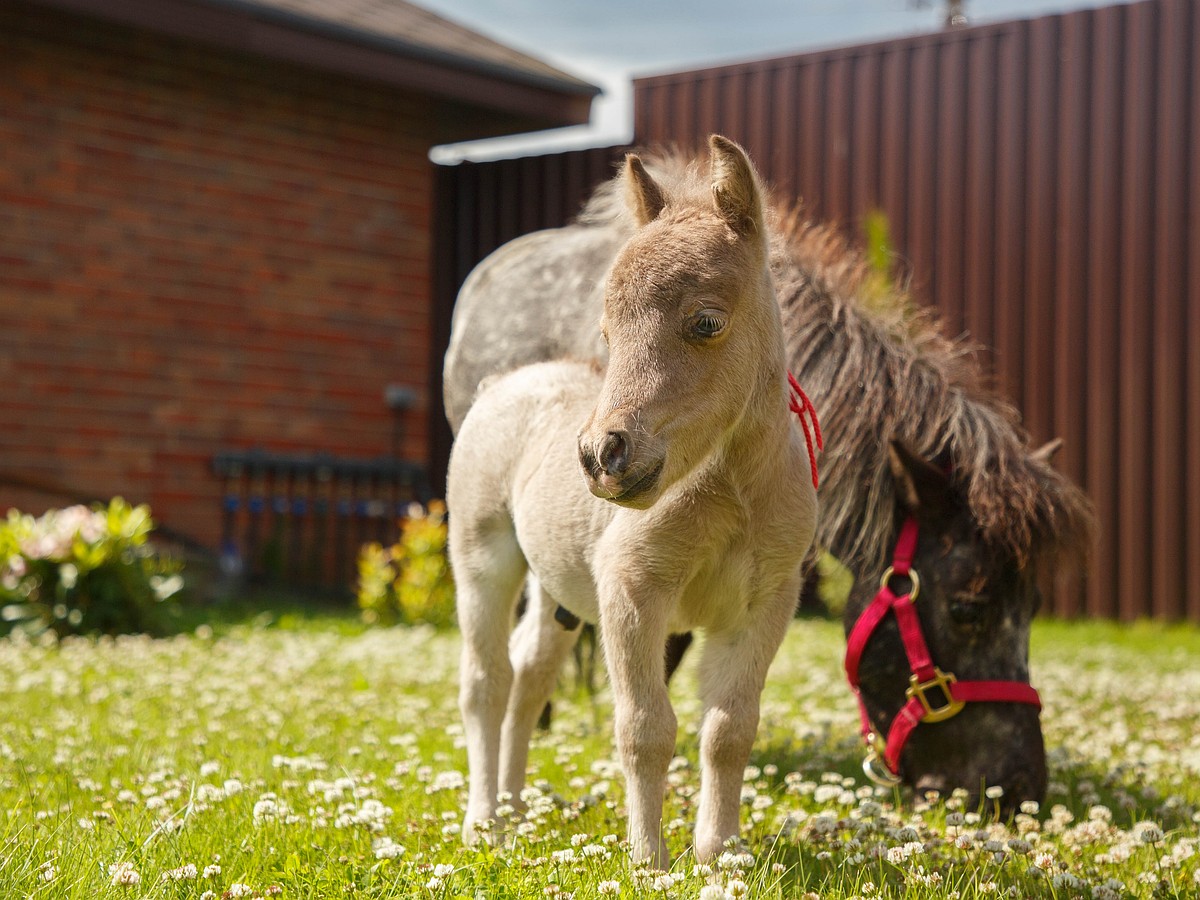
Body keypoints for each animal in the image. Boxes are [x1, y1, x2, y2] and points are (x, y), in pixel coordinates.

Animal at [444, 150, 1099, 816]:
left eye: (1034, 607)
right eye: (969, 608)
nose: (1015, 789)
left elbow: (719, 718)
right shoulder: (631, 575)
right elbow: (652, 709)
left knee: (530, 665)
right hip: (488, 555)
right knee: (490, 677)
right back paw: (489, 814)